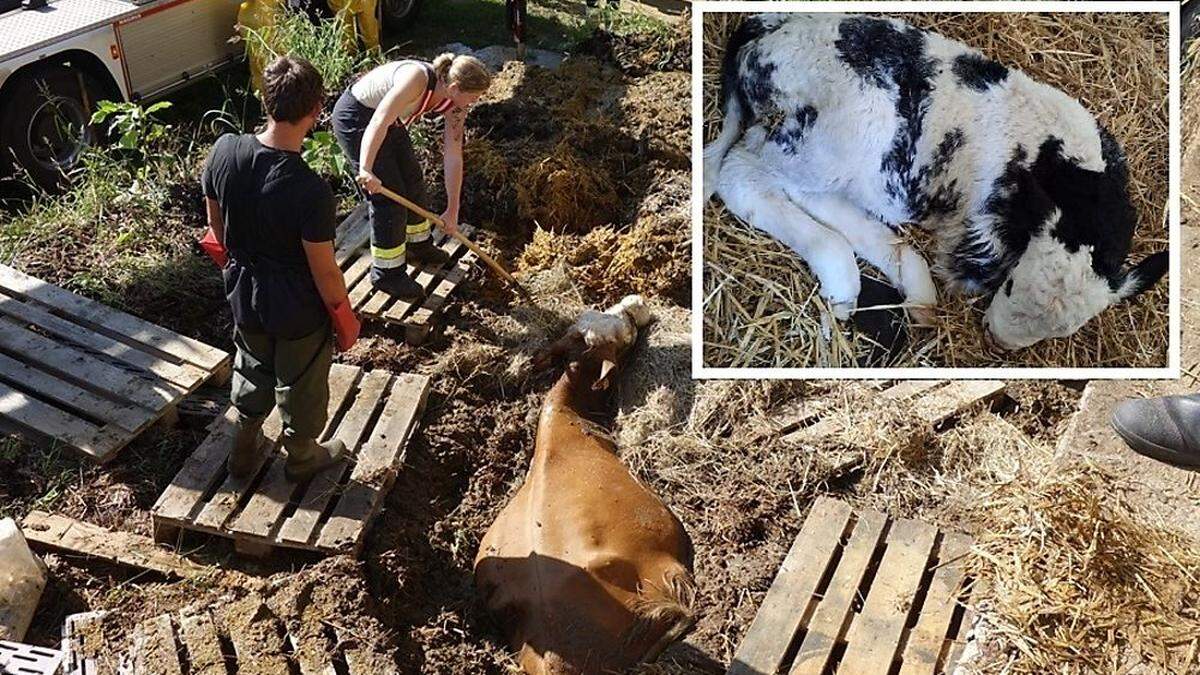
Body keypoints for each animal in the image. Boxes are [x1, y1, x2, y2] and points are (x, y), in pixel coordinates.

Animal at [705, 13, 1166, 348]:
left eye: (1061, 334)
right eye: (1011, 286)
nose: (997, 340)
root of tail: (763, 28)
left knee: (809, 193)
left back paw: (905, 291)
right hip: (842, 132)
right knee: (741, 173)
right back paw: (842, 280)